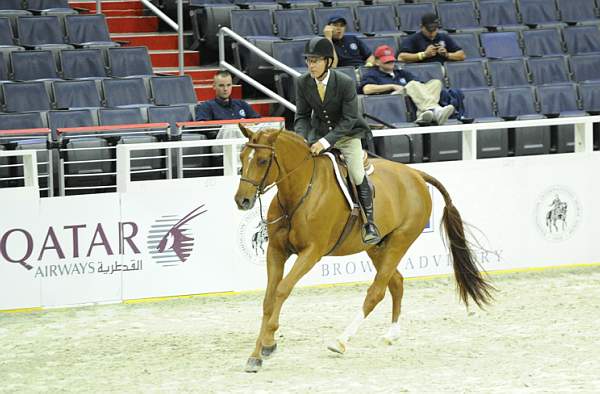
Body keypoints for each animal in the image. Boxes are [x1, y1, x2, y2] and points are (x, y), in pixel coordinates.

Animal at [233, 125, 492, 372]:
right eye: (242, 157)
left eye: (262, 160)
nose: (242, 201)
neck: (300, 191)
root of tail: (415, 174)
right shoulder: (276, 251)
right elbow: (268, 300)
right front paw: (256, 355)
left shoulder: (311, 253)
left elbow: (282, 290)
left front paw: (268, 344)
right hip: (377, 247)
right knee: (396, 283)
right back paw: (391, 334)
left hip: (400, 240)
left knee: (376, 292)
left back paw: (341, 341)